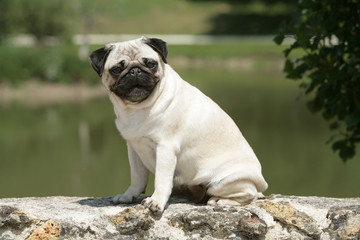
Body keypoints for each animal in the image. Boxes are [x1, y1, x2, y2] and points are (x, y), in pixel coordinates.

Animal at [88, 37, 268, 214]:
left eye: (150, 64)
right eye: (117, 69)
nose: (135, 71)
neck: (137, 108)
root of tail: (260, 182)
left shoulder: (165, 148)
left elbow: (161, 180)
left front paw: (156, 201)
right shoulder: (134, 148)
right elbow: (137, 178)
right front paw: (128, 195)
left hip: (225, 181)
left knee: (248, 195)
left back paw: (219, 200)